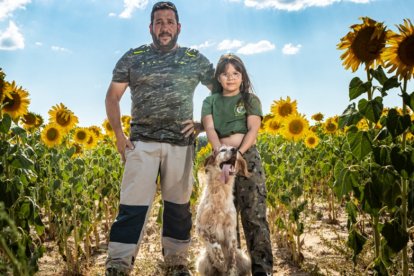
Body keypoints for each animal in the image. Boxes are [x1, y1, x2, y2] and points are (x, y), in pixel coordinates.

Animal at [196, 146, 251, 274]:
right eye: (222, 150)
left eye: (235, 149)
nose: (234, 149)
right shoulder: (201, 228)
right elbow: (214, 244)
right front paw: (220, 259)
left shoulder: (230, 229)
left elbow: (231, 259)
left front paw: (229, 267)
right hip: (202, 261)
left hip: (245, 258)